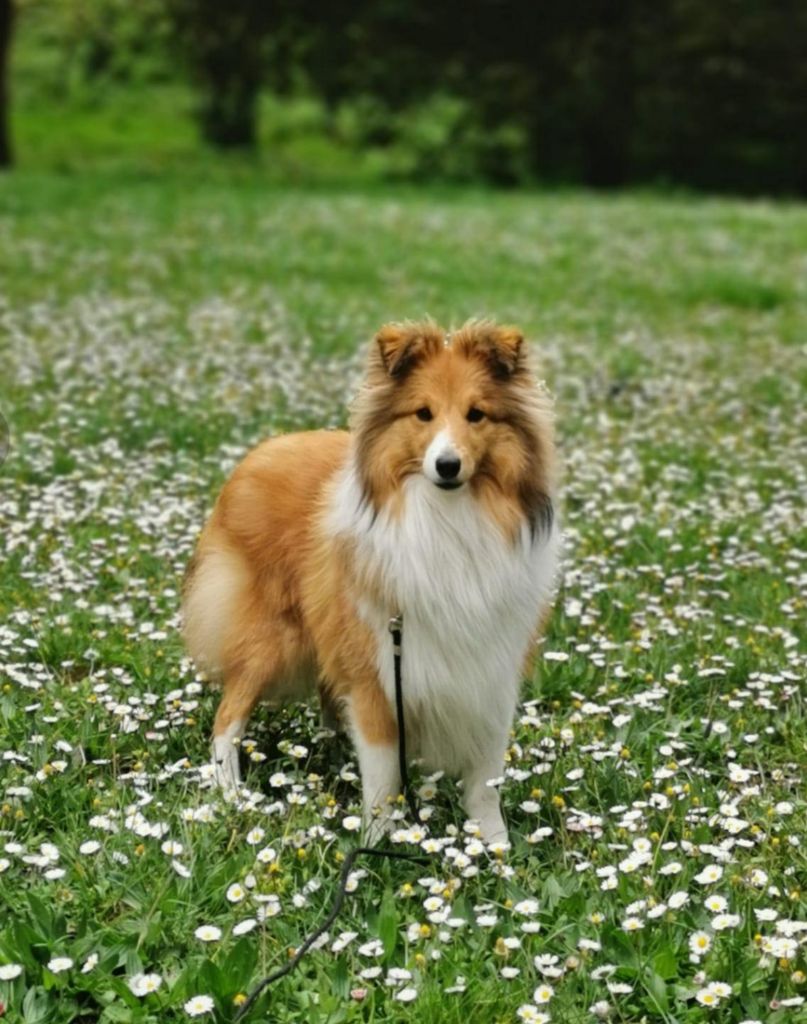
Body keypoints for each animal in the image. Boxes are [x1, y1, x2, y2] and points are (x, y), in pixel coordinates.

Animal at [183, 319, 557, 839]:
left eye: (477, 415)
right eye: (423, 414)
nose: (447, 466)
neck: (448, 519)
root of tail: (260, 451)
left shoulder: (490, 670)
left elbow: (486, 781)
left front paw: (495, 845)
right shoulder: (378, 674)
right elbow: (382, 784)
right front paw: (378, 841)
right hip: (268, 637)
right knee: (226, 719)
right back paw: (231, 793)